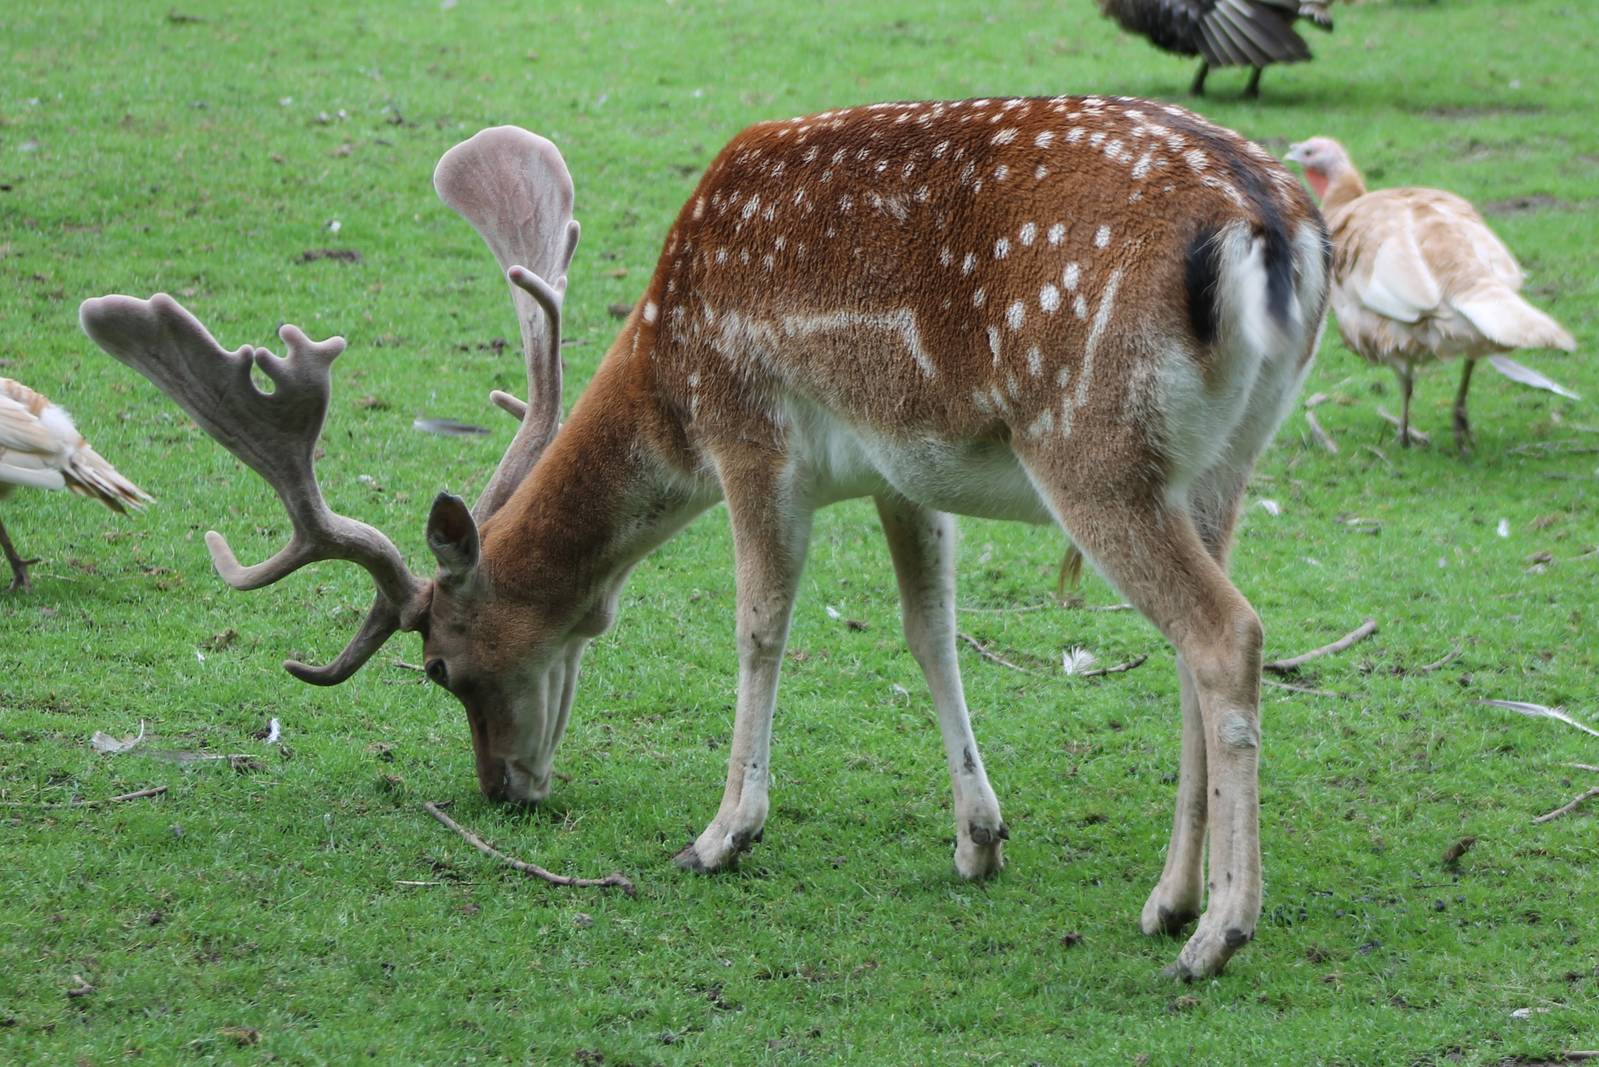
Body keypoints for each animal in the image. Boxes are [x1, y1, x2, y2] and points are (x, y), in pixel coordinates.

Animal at [80, 94, 1329, 979]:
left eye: (439, 665)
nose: (503, 788)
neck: (669, 375)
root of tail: (1272, 227)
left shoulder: (751, 434)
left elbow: (760, 625)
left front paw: (723, 831)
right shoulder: (902, 471)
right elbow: (929, 631)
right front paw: (979, 835)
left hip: (1087, 443)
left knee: (1226, 632)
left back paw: (1217, 931)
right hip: (1220, 459)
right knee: (1198, 644)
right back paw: (1167, 897)